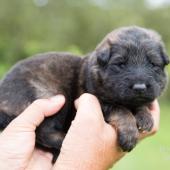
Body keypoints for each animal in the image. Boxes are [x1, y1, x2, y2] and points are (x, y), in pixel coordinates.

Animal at [0, 25, 169, 161]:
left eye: (153, 64)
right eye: (121, 64)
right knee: (43, 132)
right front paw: (129, 132)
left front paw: (144, 116)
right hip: (52, 95)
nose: (140, 87)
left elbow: (140, 104)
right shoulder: (99, 100)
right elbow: (121, 110)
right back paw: (63, 140)